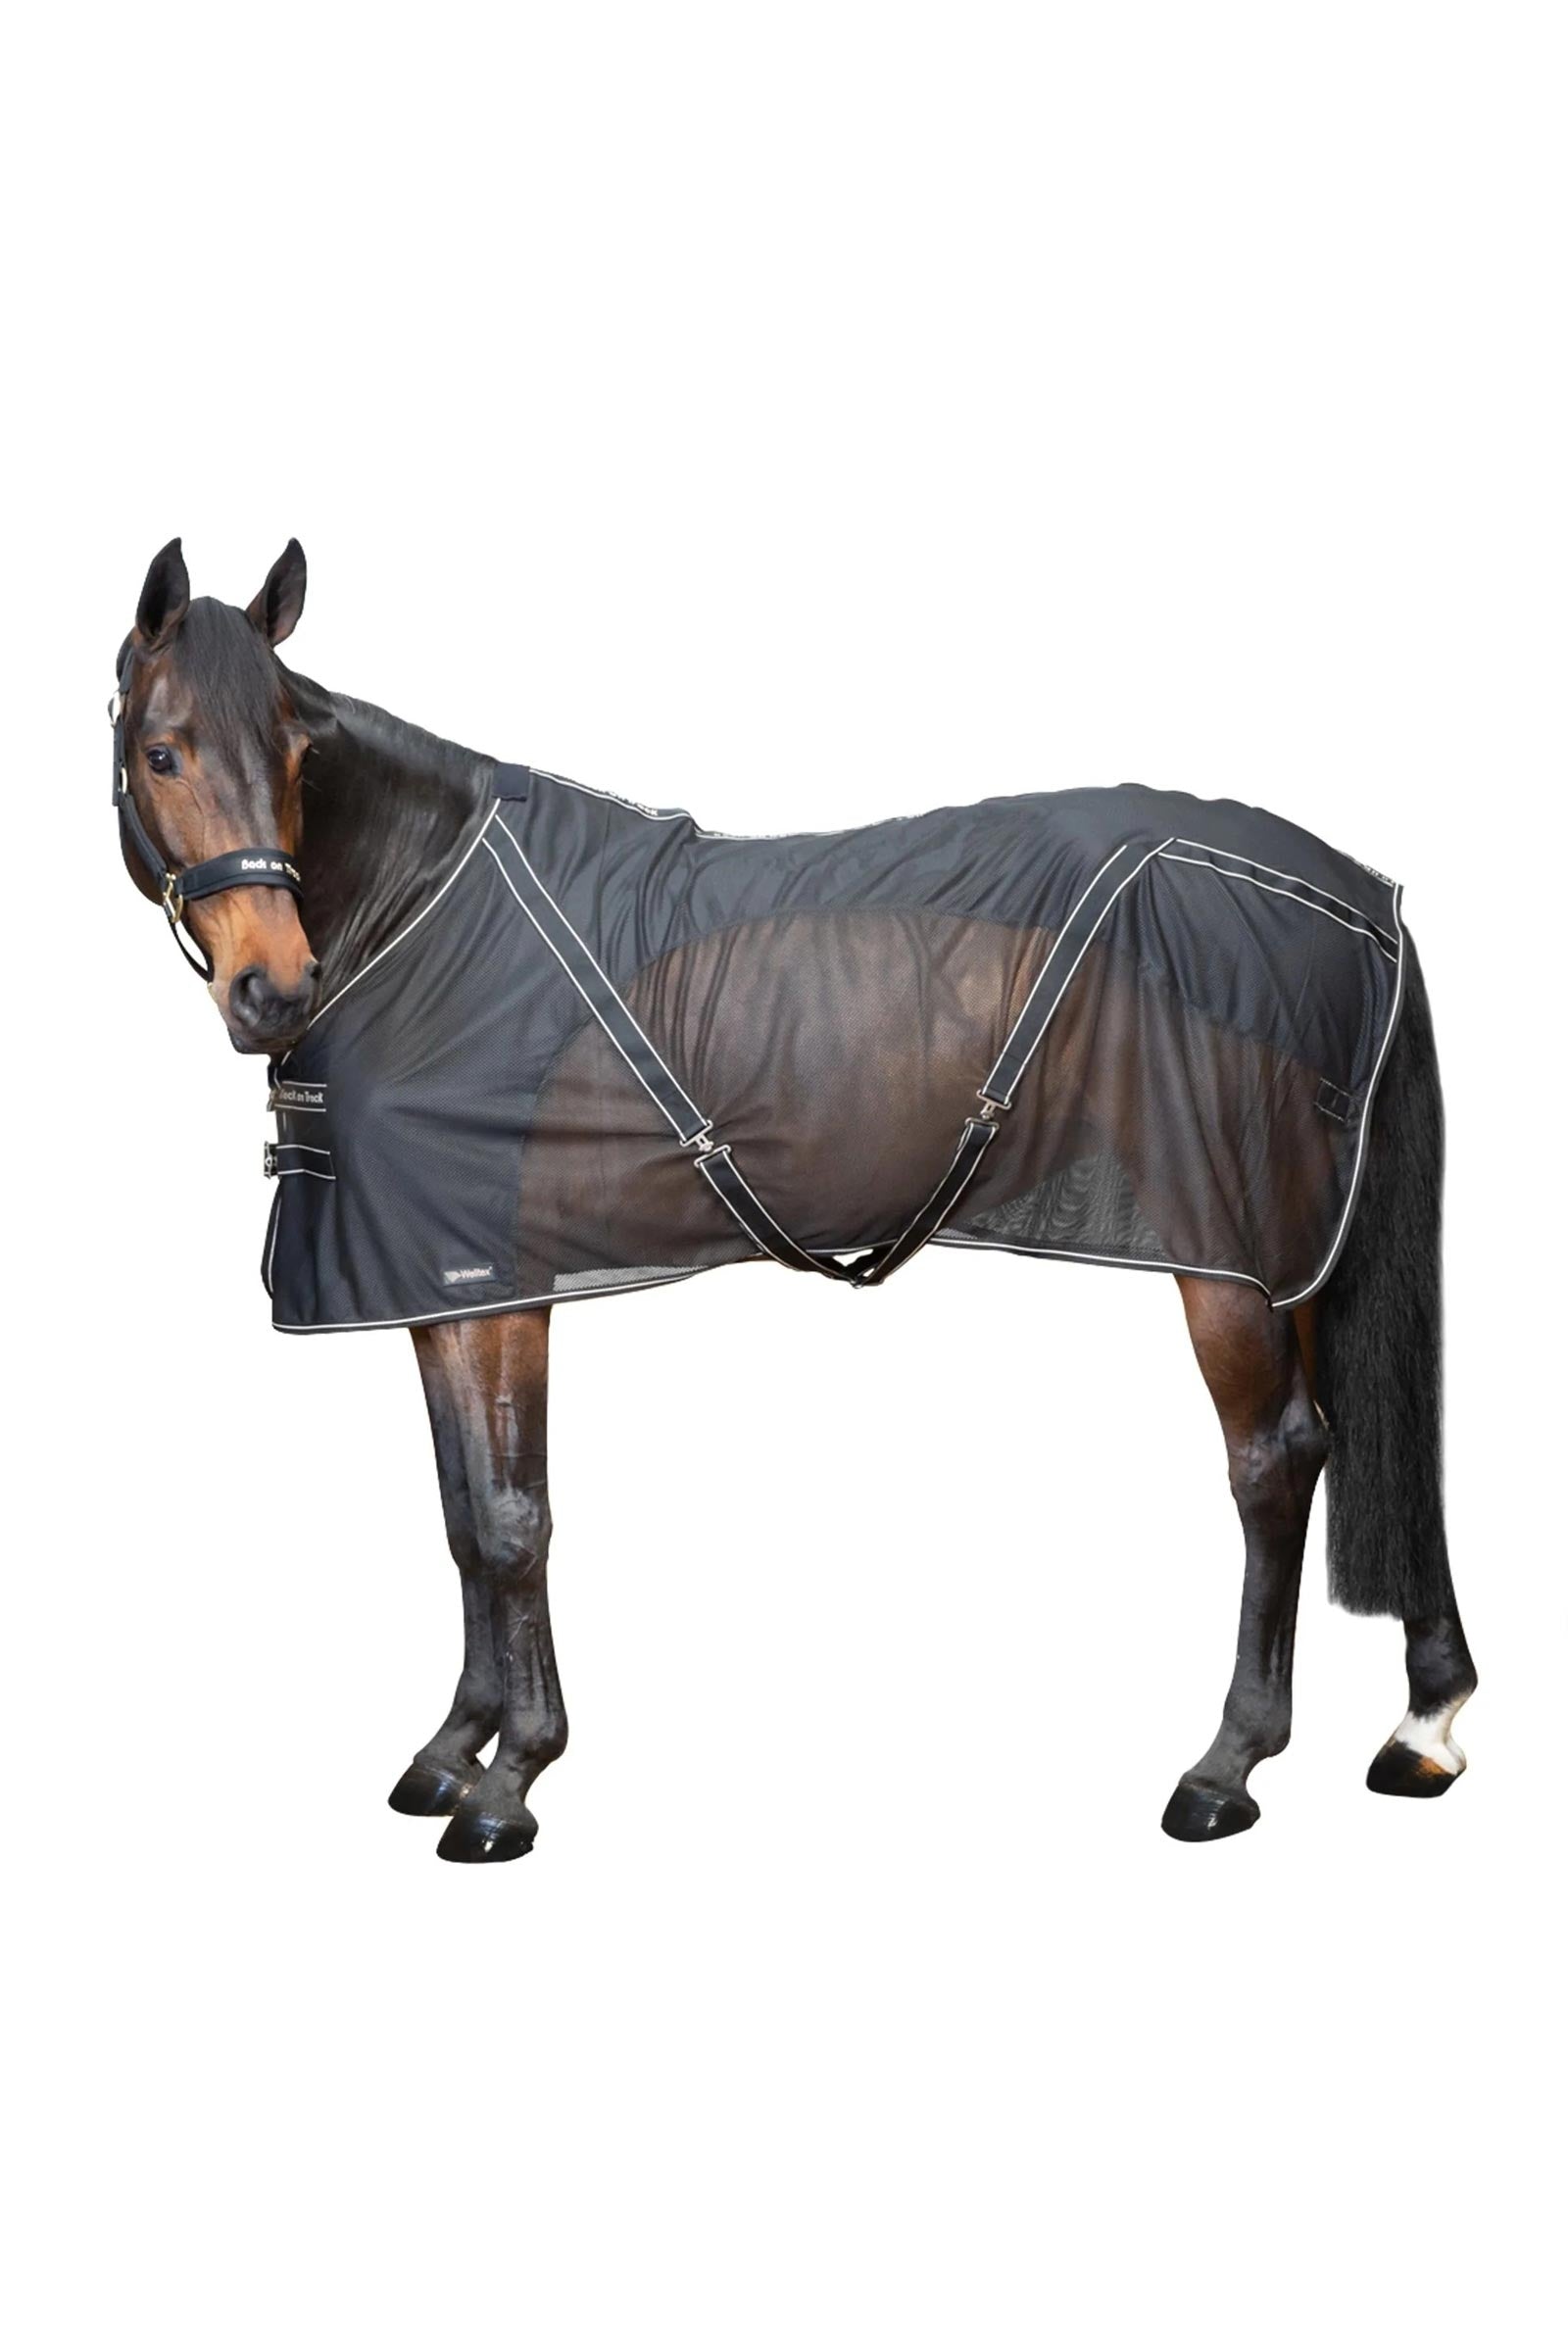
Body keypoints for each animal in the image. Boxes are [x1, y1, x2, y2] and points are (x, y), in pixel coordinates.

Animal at [111, 536, 1477, 1863]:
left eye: (298, 751)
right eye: (160, 750)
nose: (274, 988)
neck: (429, 909)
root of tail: (1360, 896)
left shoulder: (500, 1291)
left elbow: (511, 1520)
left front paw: (511, 1783)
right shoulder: (442, 1292)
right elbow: (459, 1516)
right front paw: (452, 1750)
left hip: (1223, 1258)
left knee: (1274, 1459)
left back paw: (1225, 1765)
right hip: (1293, 1252)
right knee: (1353, 1433)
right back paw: (1423, 1723)